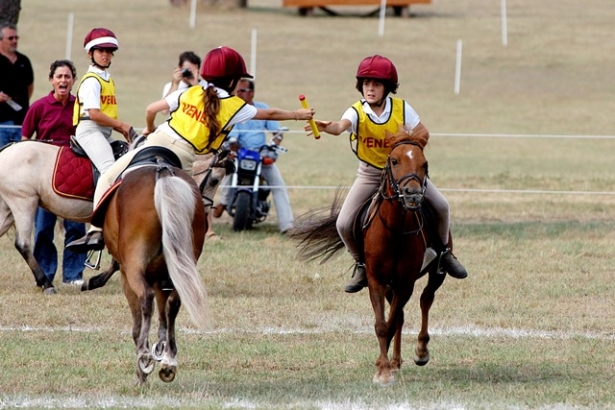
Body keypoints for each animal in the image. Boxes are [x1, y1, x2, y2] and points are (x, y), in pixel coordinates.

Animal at [0, 141, 229, 294]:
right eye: (215, 180)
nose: (205, 209)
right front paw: (94, 281)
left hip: (8, 209)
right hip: (23, 202)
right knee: (23, 244)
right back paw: (46, 283)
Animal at [292, 130, 450, 386]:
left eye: (424, 164)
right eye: (394, 161)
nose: (413, 195)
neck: (395, 229)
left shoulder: (405, 283)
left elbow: (393, 321)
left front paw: (386, 366)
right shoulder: (377, 280)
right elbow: (382, 325)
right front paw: (383, 370)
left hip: (435, 274)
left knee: (425, 300)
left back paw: (421, 351)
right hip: (388, 284)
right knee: (402, 314)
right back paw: (395, 362)